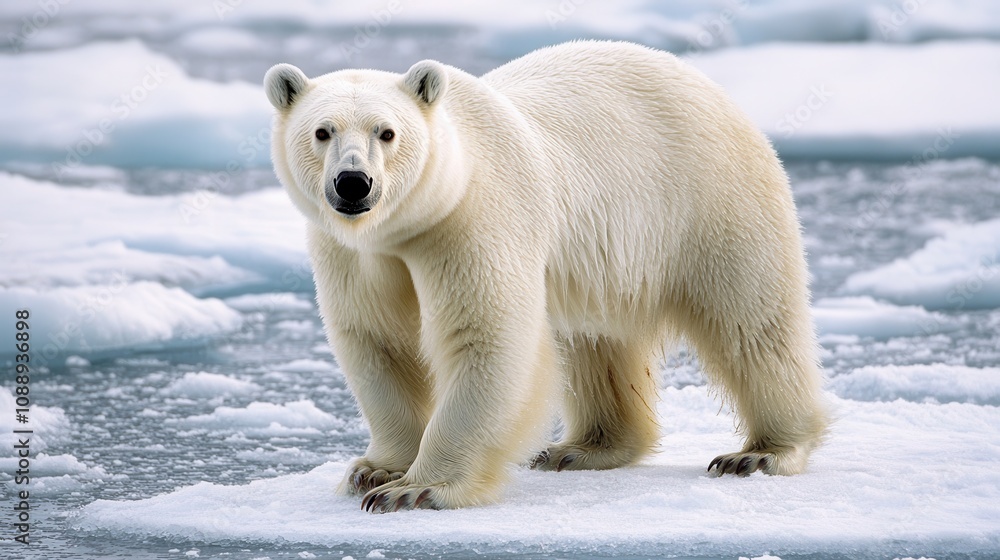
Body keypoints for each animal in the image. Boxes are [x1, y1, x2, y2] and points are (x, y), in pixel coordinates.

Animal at [264, 40, 828, 513]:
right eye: (322, 131)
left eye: (387, 132)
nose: (353, 183)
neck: (414, 217)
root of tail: (708, 84)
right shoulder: (353, 254)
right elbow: (377, 341)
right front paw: (375, 469)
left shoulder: (471, 221)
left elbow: (487, 337)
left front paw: (417, 489)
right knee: (595, 342)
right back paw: (581, 448)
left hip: (712, 201)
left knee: (750, 323)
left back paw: (761, 453)